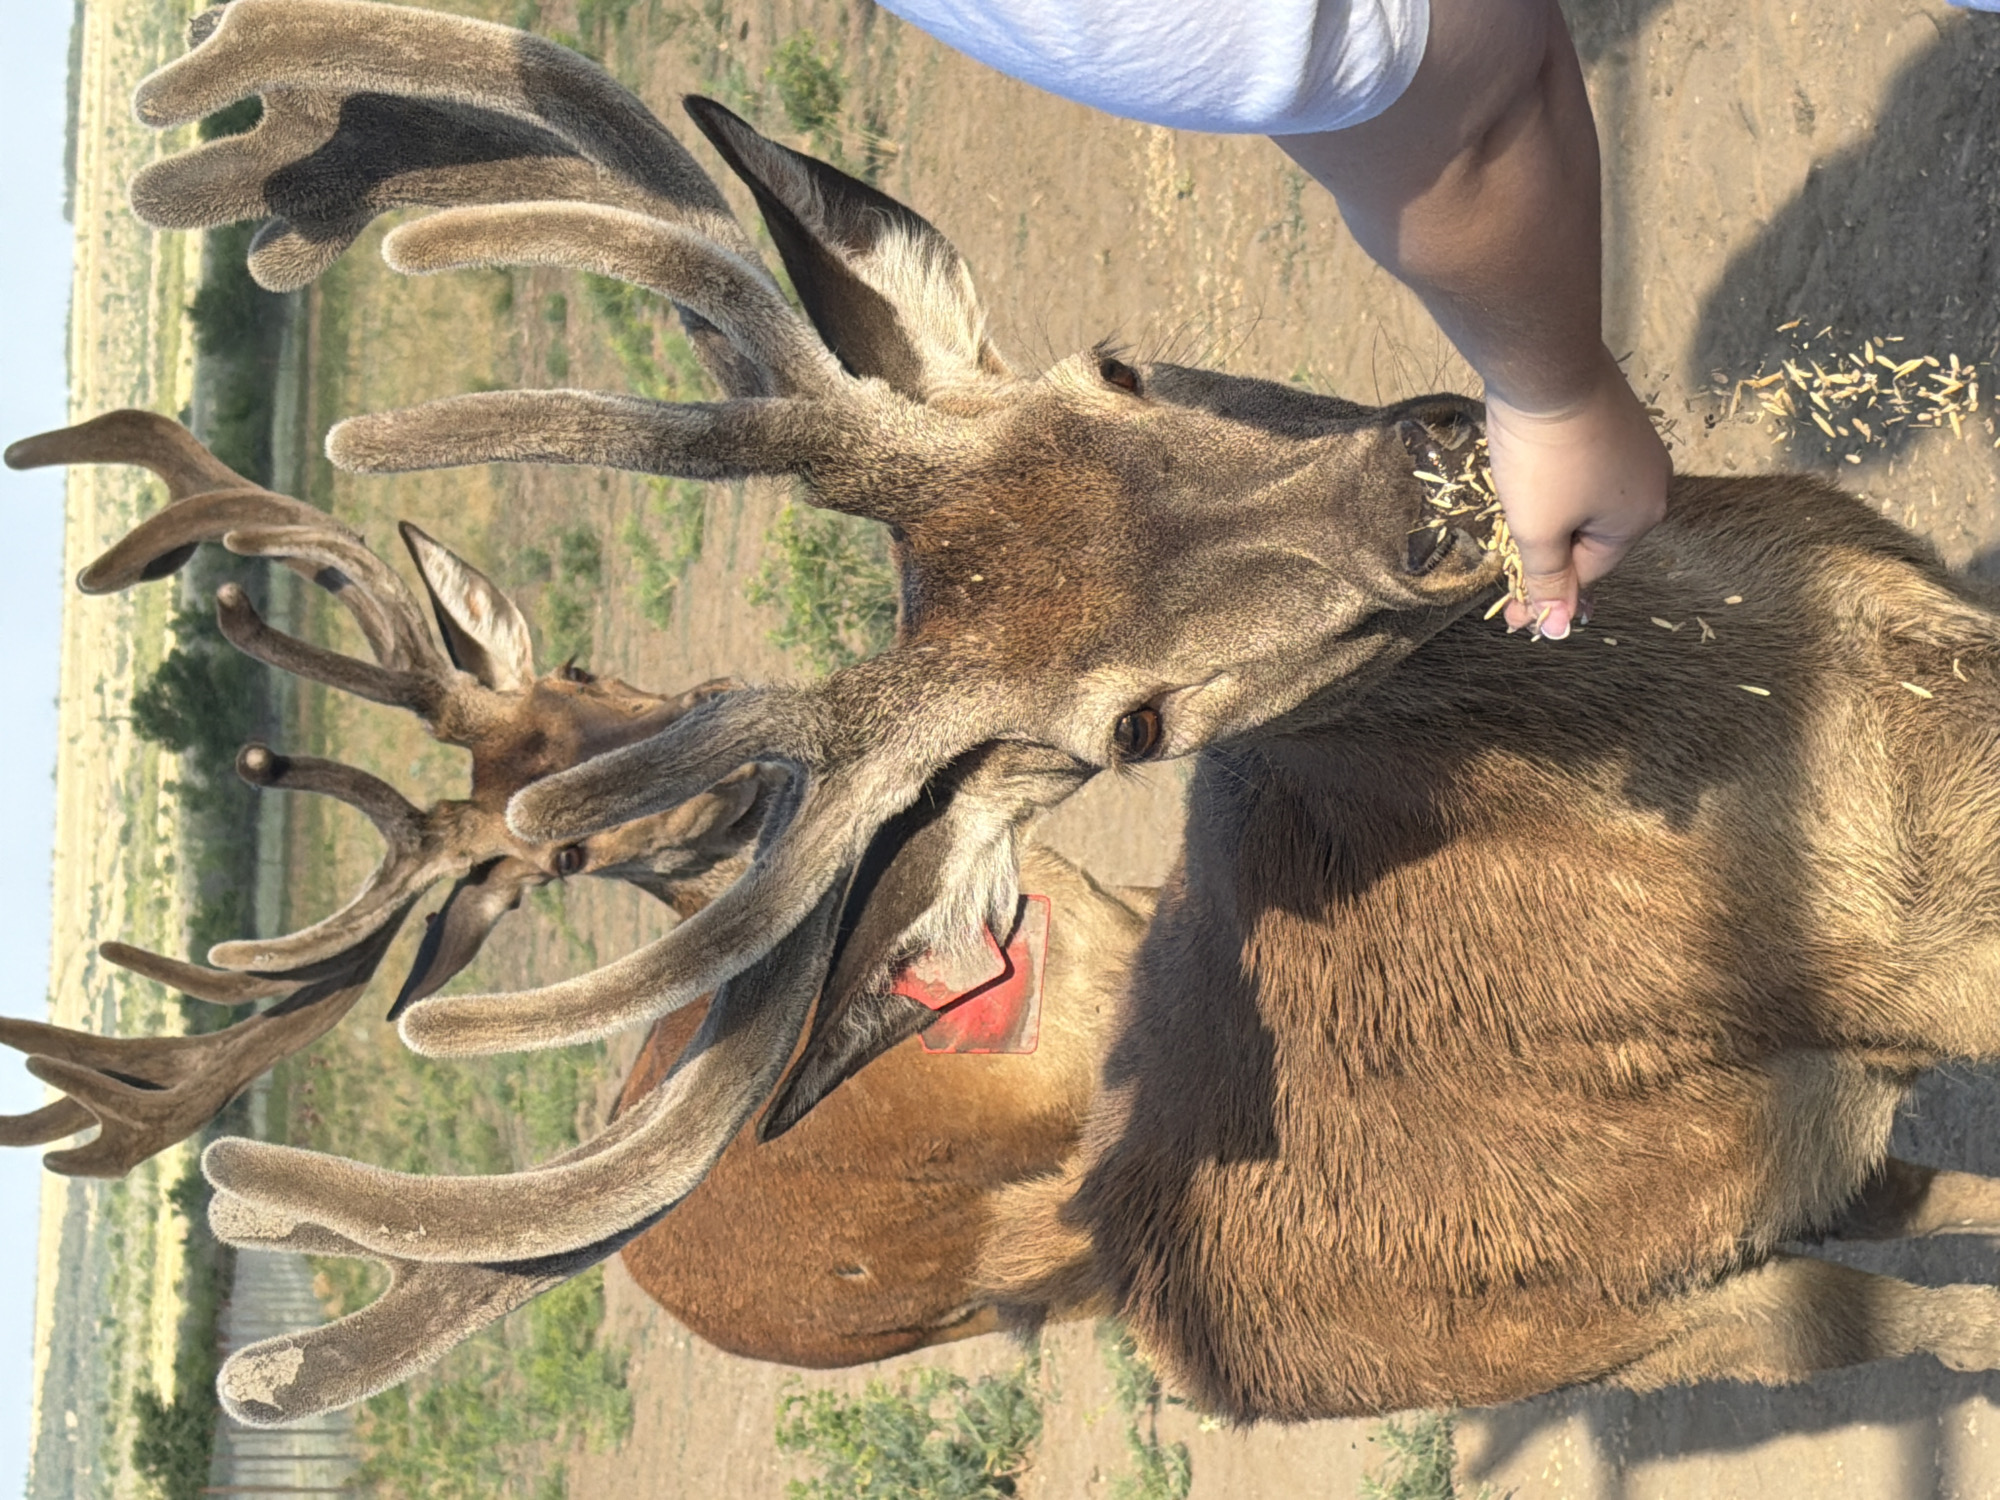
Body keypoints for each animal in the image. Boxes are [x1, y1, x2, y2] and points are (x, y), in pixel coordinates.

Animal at [99, 0, 2000, 1429]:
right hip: (1628, 1313)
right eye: (1129, 737)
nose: (1427, 491)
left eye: (1119, 368)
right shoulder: (1896, 982)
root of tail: (1142, 1288)